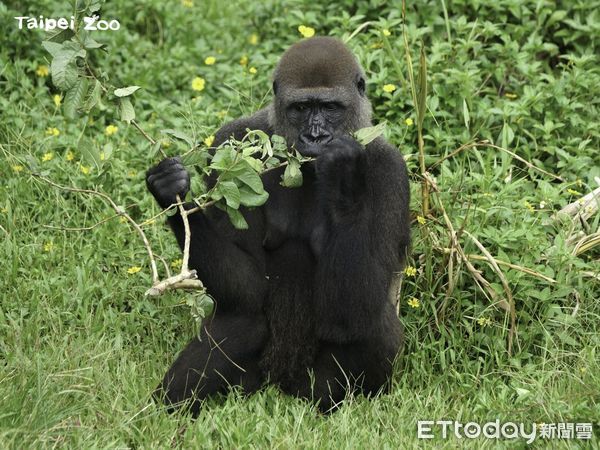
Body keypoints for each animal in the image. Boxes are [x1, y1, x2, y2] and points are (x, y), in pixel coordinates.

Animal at [147, 36, 410, 414]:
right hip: (252, 383)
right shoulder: (231, 139)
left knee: (372, 323)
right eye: (300, 108)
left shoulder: (391, 171)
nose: (316, 136)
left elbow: (358, 307)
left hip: (308, 388)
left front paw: (344, 174)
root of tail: (280, 386)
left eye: (330, 107)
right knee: (242, 315)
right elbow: (248, 287)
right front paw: (172, 191)